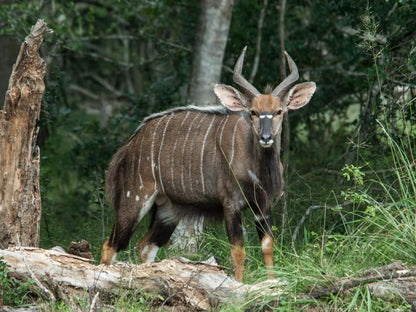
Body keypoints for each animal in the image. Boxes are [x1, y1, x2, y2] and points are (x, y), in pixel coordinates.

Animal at [101, 47, 316, 282]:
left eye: (279, 111)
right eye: (253, 112)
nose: (266, 137)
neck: (258, 170)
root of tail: (129, 146)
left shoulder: (263, 205)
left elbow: (267, 247)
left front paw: (270, 283)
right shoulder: (231, 203)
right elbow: (238, 252)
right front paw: (239, 286)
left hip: (167, 211)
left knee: (145, 246)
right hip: (135, 199)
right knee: (110, 246)